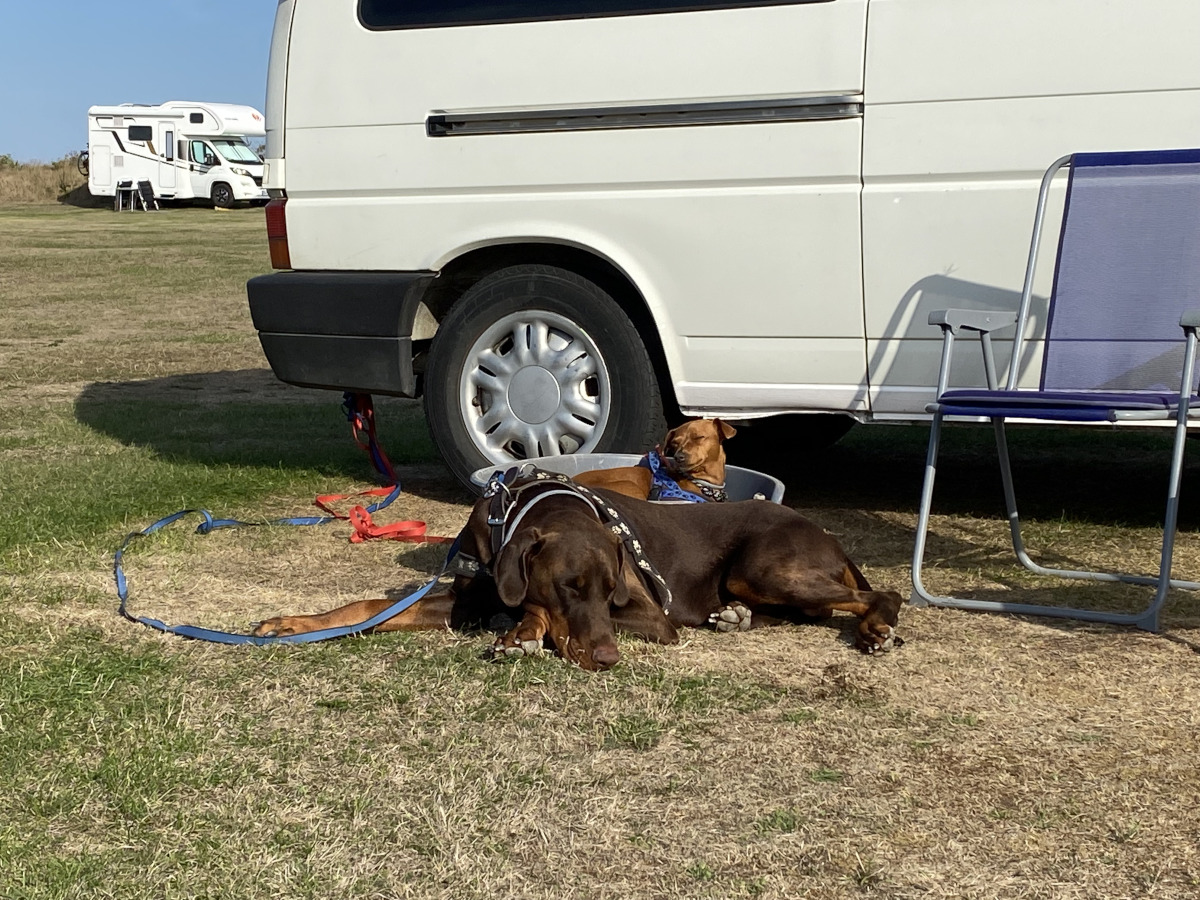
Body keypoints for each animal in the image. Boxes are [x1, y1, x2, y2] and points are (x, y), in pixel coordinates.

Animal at [255, 480, 907, 672]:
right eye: (569, 585)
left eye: (609, 590)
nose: (608, 659)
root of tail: (825, 532)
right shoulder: (469, 597)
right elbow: (367, 608)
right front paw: (289, 624)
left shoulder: (651, 615)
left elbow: (530, 610)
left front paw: (522, 633)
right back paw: (733, 618)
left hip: (765, 567)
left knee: (879, 591)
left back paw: (877, 629)